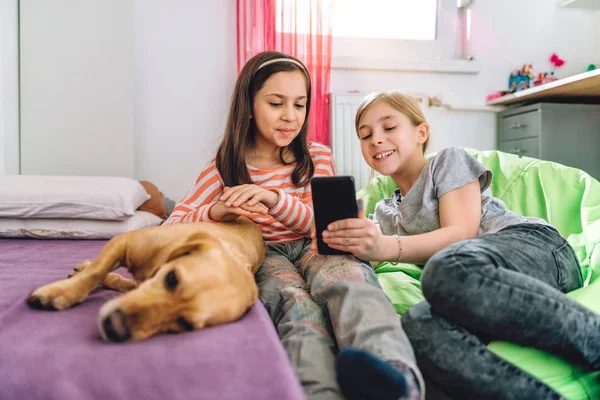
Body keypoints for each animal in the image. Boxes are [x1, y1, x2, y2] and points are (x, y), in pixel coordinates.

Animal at [25, 217, 264, 342]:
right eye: (172, 278)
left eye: (184, 324)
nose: (115, 328)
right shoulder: (125, 241)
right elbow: (96, 271)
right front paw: (62, 292)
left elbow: (110, 278)